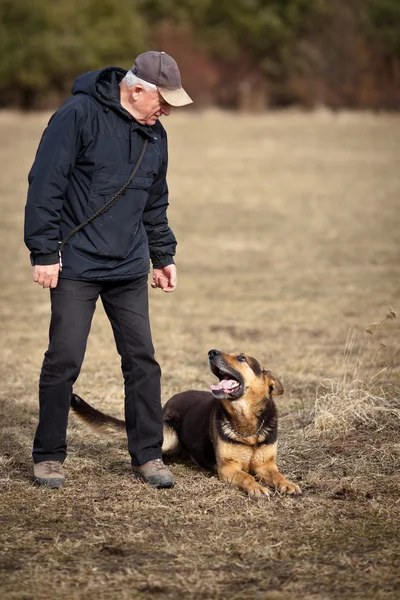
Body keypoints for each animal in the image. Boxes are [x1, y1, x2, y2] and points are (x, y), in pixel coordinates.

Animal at [70, 350, 300, 500]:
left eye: (242, 358)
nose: (212, 352)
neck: (247, 425)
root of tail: (169, 402)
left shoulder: (266, 465)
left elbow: (278, 475)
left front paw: (287, 484)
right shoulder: (228, 468)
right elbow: (246, 476)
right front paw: (256, 487)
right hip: (169, 437)